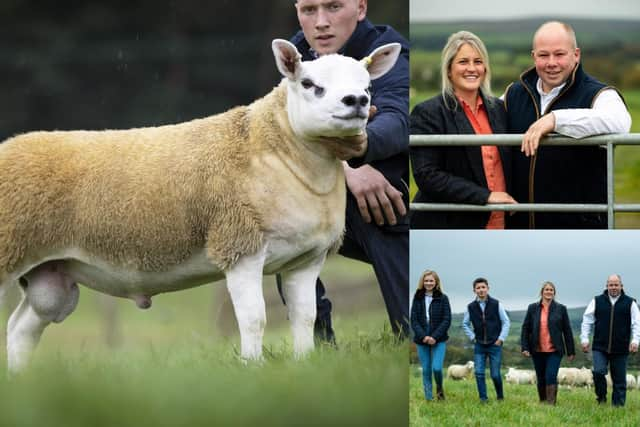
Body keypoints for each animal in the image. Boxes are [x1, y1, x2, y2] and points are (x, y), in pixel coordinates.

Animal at [0, 40, 400, 374]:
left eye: (367, 85)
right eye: (308, 83)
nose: (356, 101)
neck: (278, 150)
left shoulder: (306, 259)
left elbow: (305, 317)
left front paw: (303, 366)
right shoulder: (239, 245)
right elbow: (254, 318)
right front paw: (252, 369)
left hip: (50, 276)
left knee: (20, 328)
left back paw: (22, 382)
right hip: (10, 250)